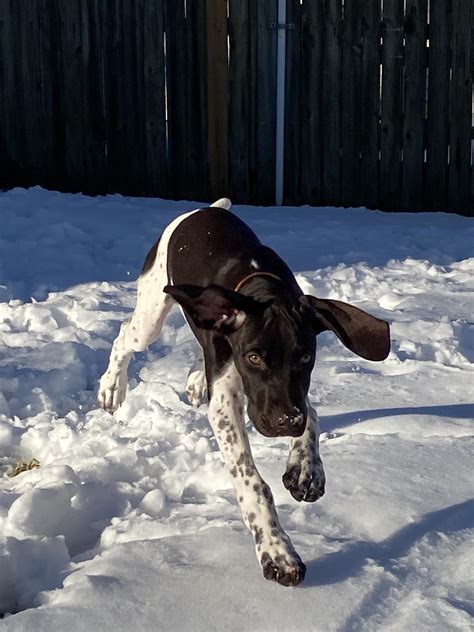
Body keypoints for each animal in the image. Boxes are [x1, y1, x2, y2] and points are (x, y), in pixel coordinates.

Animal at [98, 199, 390, 588]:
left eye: (306, 357)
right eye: (253, 357)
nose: (285, 421)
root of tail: (207, 209)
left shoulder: (297, 393)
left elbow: (312, 416)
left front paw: (306, 467)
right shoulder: (225, 405)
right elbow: (253, 483)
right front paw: (278, 551)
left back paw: (195, 380)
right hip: (151, 311)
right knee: (124, 335)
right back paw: (112, 388)